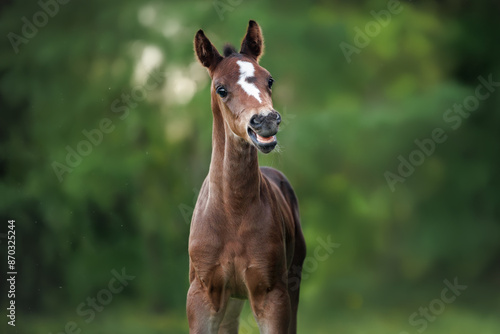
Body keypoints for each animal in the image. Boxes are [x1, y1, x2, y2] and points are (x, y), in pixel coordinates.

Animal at [188, 20, 304, 334]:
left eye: (270, 80)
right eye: (221, 89)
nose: (265, 121)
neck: (232, 212)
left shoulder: (272, 295)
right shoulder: (202, 295)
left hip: (292, 283)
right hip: (231, 301)